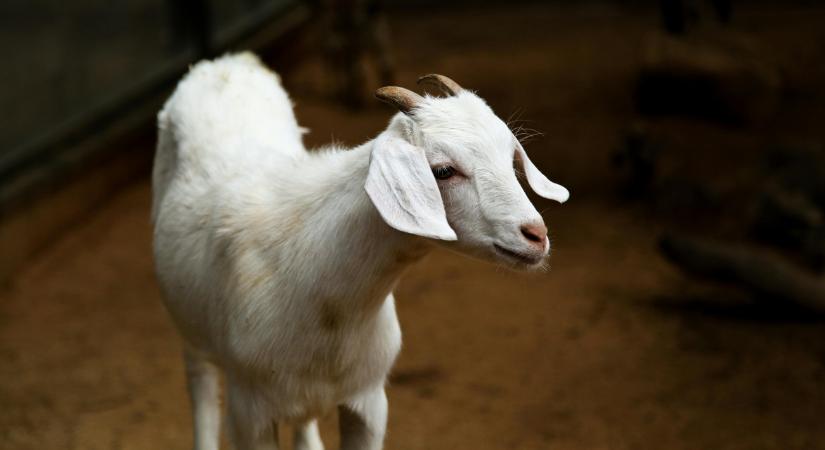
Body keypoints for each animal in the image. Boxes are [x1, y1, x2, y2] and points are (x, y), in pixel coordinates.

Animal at [151, 53, 568, 450]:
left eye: (511, 157)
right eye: (443, 170)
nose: (536, 235)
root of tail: (225, 63)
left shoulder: (368, 401)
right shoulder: (249, 413)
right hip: (190, 332)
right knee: (201, 390)